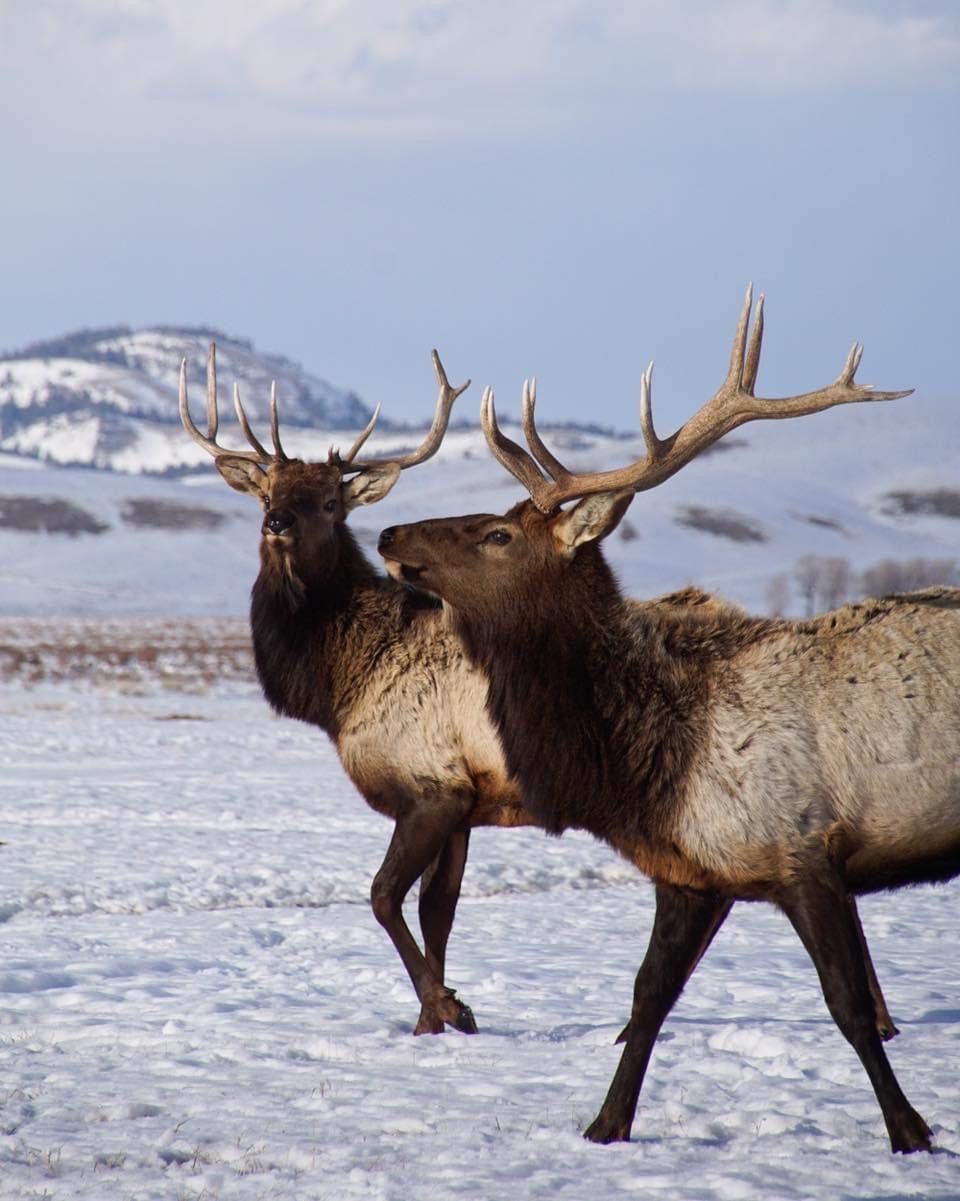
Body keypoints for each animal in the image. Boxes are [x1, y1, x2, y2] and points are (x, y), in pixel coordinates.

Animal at [376, 286, 959, 1153]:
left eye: (497, 533)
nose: (387, 531)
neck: (645, 765)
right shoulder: (691, 872)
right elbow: (647, 998)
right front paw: (605, 1125)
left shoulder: (805, 849)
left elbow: (851, 1007)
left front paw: (910, 1131)